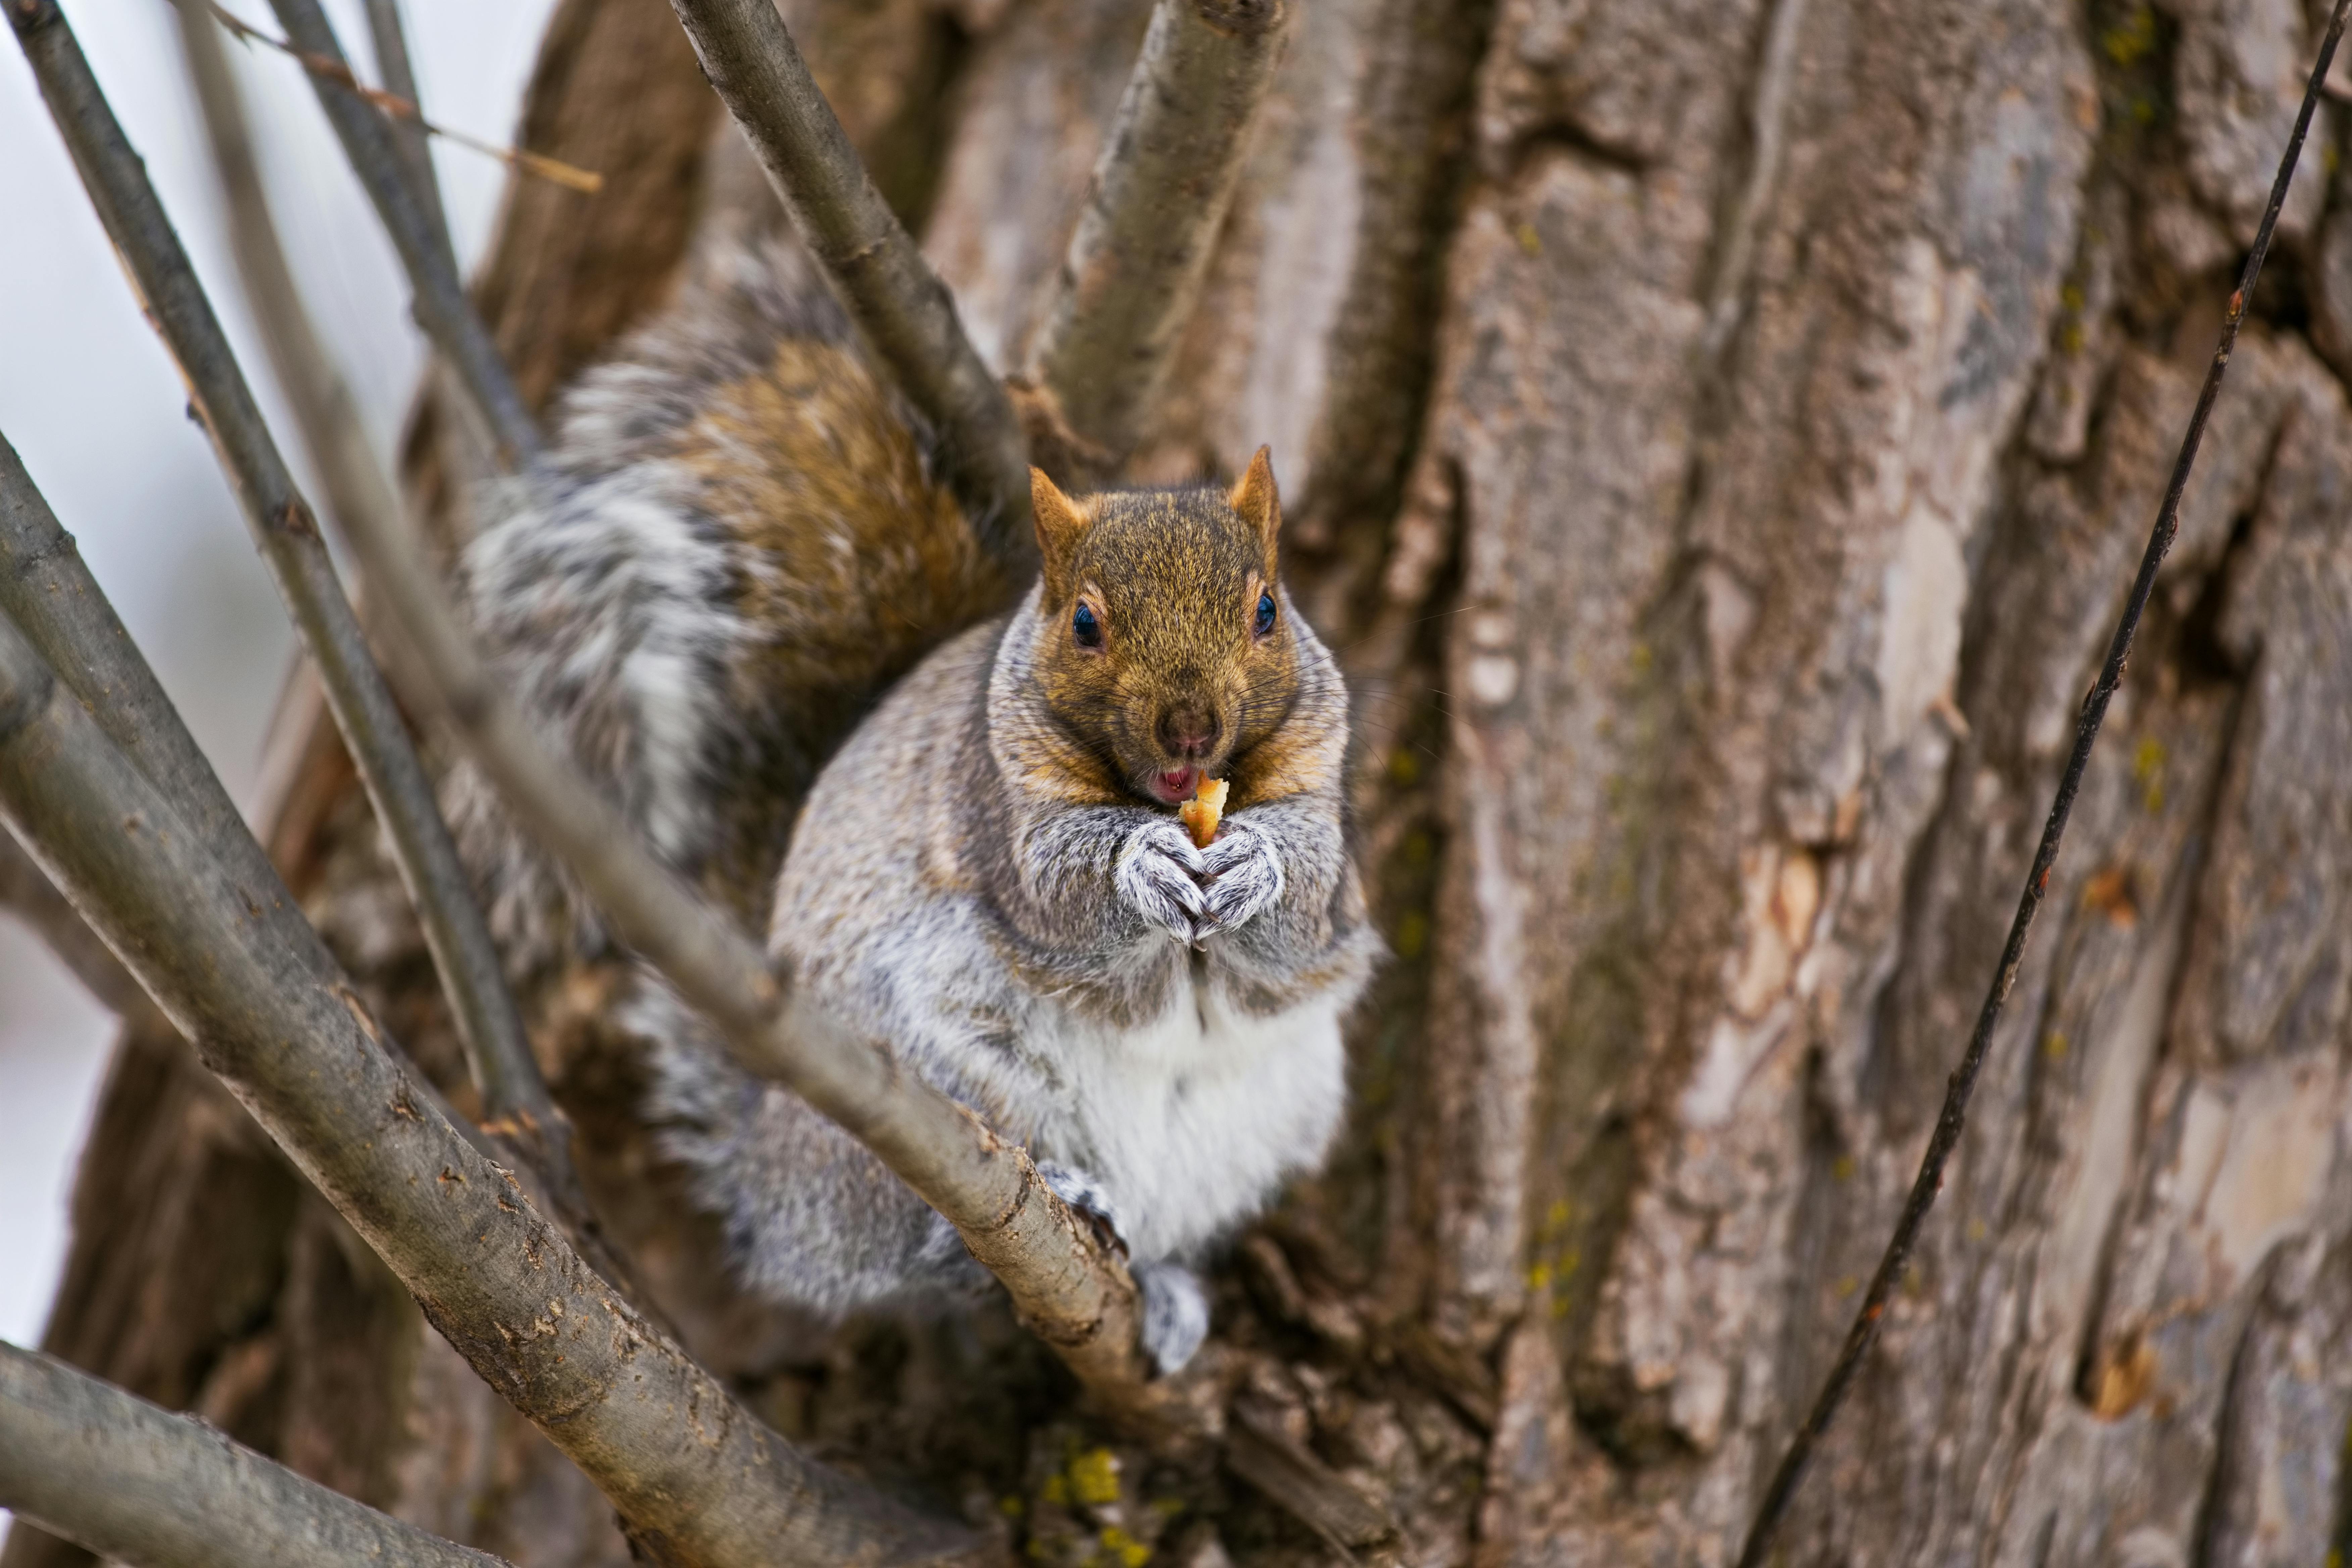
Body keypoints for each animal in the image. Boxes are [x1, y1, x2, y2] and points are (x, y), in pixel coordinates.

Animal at [451, 232, 1378, 1372]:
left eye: (1267, 611)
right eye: (1083, 623)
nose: (1190, 731)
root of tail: (771, 1183)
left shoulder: (1323, 794)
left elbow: (1309, 913)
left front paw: (1256, 863)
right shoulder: (992, 802)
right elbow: (1059, 892)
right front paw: (1140, 865)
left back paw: (1162, 1286)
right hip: (932, 1082)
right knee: (903, 1255)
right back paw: (1028, 1208)